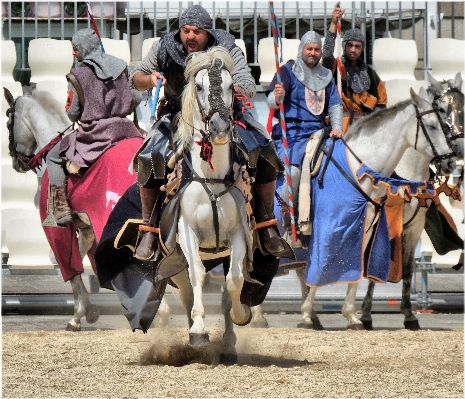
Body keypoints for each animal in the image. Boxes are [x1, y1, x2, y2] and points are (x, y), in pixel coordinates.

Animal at [161, 47, 252, 366]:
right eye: (199, 87)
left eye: (230, 86)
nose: (220, 127)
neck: (210, 178)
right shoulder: (187, 233)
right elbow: (198, 275)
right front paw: (198, 331)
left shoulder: (238, 234)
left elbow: (234, 281)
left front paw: (241, 314)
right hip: (174, 261)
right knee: (188, 291)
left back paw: (228, 345)